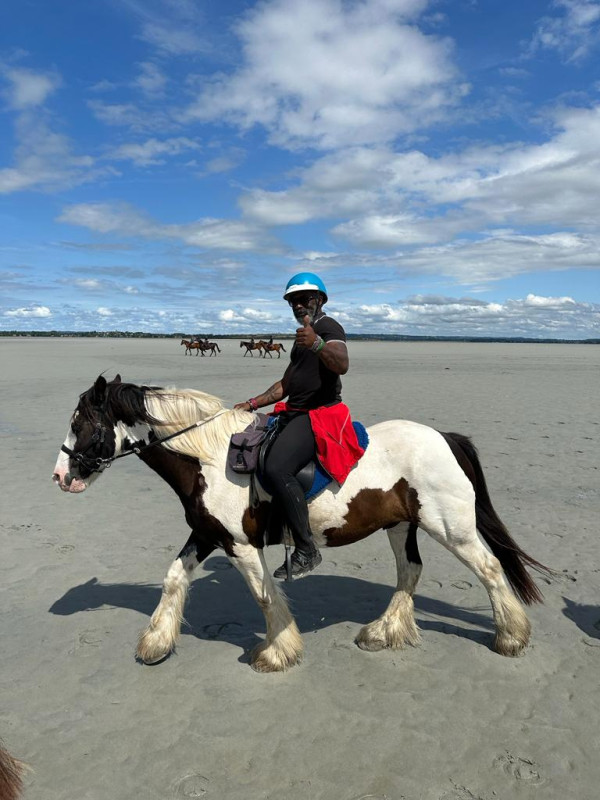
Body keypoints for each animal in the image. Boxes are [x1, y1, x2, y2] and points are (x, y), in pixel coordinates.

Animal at [54, 376, 552, 676]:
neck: (208, 458)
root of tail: (444, 438)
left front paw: (277, 651)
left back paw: (510, 637)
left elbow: (262, 594)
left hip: (450, 528)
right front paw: (156, 643)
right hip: (400, 525)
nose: (60, 476)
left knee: (489, 569)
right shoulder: (208, 534)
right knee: (410, 571)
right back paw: (382, 632)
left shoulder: (239, 544)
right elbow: (174, 577)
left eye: (82, 422)